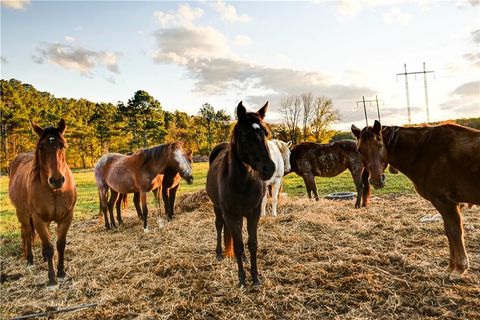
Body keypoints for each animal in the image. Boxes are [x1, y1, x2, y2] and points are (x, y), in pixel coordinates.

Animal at [8, 119, 77, 286]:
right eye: (41, 147)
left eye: (62, 146)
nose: (57, 180)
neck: (55, 191)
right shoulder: (38, 219)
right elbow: (48, 247)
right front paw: (52, 279)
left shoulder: (66, 217)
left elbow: (60, 245)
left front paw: (61, 273)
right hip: (23, 215)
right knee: (27, 234)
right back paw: (30, 260)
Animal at [205, 100, 274, 288]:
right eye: (244, 134)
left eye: (265, 133)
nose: (269, 168)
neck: (243, 182)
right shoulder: (230, 214)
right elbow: (237, 245)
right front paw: (242, 279)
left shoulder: (254, 213)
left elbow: (252, 244)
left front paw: (255, 278)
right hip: (217, 208)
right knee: (219, 226)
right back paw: (219, 253)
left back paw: (243, 259)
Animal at [352, 120, 480, 280]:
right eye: (359, 150)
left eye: (380, 145)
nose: (376, 180)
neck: (424, 151)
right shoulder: (446, 205)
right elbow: (449, 232)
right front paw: (450, 268)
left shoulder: (446, 203)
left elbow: (455, 232)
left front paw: (459, 269)